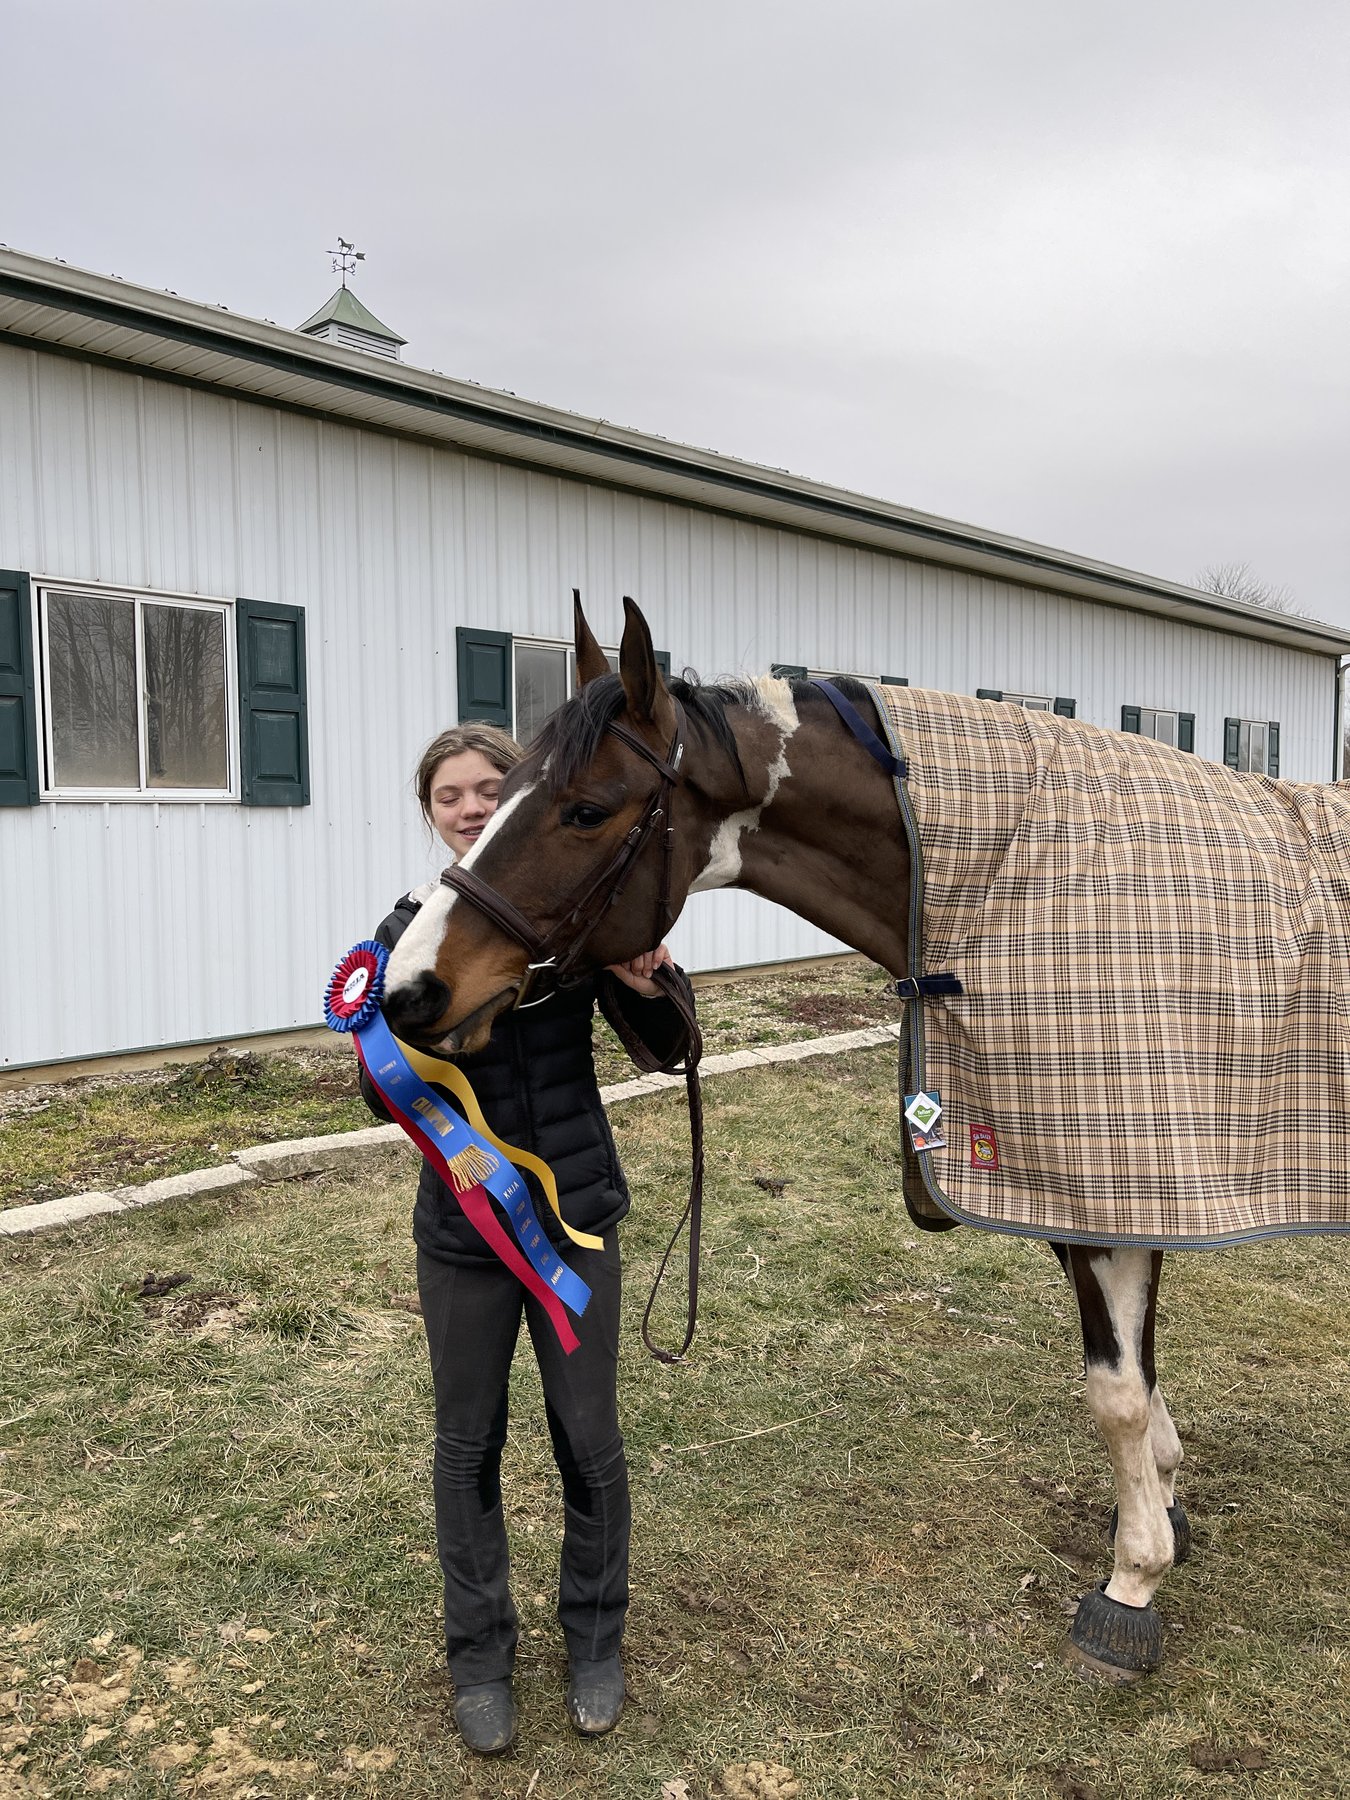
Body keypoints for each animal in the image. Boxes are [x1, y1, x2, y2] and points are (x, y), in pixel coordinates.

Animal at [382, 594, 1349, 1681]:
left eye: (585, 810)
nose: (409, 988)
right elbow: (1136, 1376)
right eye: (496, 794)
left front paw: (1132, 1582)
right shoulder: (1115, 1185)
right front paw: (1165, 1505)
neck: (1008, 882)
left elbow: (1118, 1392)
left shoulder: (1120, 1178)